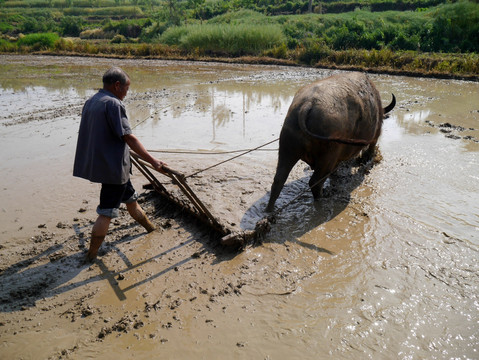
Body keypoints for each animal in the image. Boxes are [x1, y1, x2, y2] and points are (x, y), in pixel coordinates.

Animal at [266, 71, 398, 212]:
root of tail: (307, 105)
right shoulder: (375, 135)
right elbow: (371, 149)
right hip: (327, 156)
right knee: (315, 182)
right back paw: (323, 197)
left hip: (287, 148)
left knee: (279, 180)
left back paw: (269, 209)